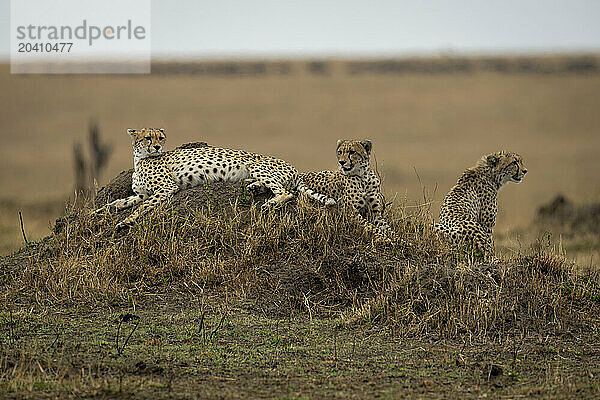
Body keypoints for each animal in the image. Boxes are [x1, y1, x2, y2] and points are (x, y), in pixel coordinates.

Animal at [94, 128, 298, 231]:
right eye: (147, 138)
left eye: (160, 137)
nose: (157, 147)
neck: (140, 159)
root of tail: (293, 168)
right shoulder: (142, 194)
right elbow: (118, 202)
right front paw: (97, 212)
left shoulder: (165, 188)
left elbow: (142, 207)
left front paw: (127, 221)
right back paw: (254, 187)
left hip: (254, 165)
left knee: (286, 192)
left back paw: (272, 202)